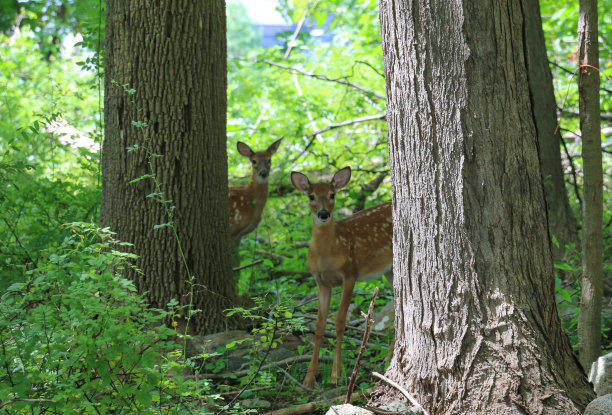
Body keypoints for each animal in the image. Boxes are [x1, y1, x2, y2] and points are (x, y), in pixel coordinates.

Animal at [292, 166, 392, 386]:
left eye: (332, 194)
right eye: (311, 196)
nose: (323, 213)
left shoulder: (350, 273)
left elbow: (339, 322)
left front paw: (335, 374)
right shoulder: (321, 282)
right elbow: (319, 325)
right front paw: (309, 377)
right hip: (389, 270)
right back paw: (389, 357)